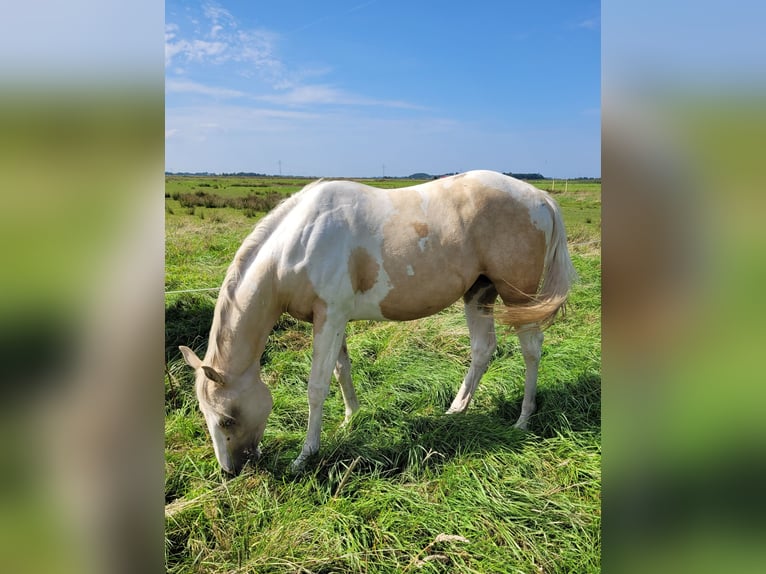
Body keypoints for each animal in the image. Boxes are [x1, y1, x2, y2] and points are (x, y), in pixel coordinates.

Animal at [179, 170, 576, 474]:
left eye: (226, 420)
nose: (231, 471)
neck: (294, 247)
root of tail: (539, 196)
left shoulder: (330, 317)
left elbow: (317, 387)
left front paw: (305, 456)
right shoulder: (332, 319)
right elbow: (342, 370)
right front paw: (350, 419)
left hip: (518, 297)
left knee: (531, 350)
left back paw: (523, 419)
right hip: (479, 294)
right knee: (482, 351)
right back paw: (455, 411)